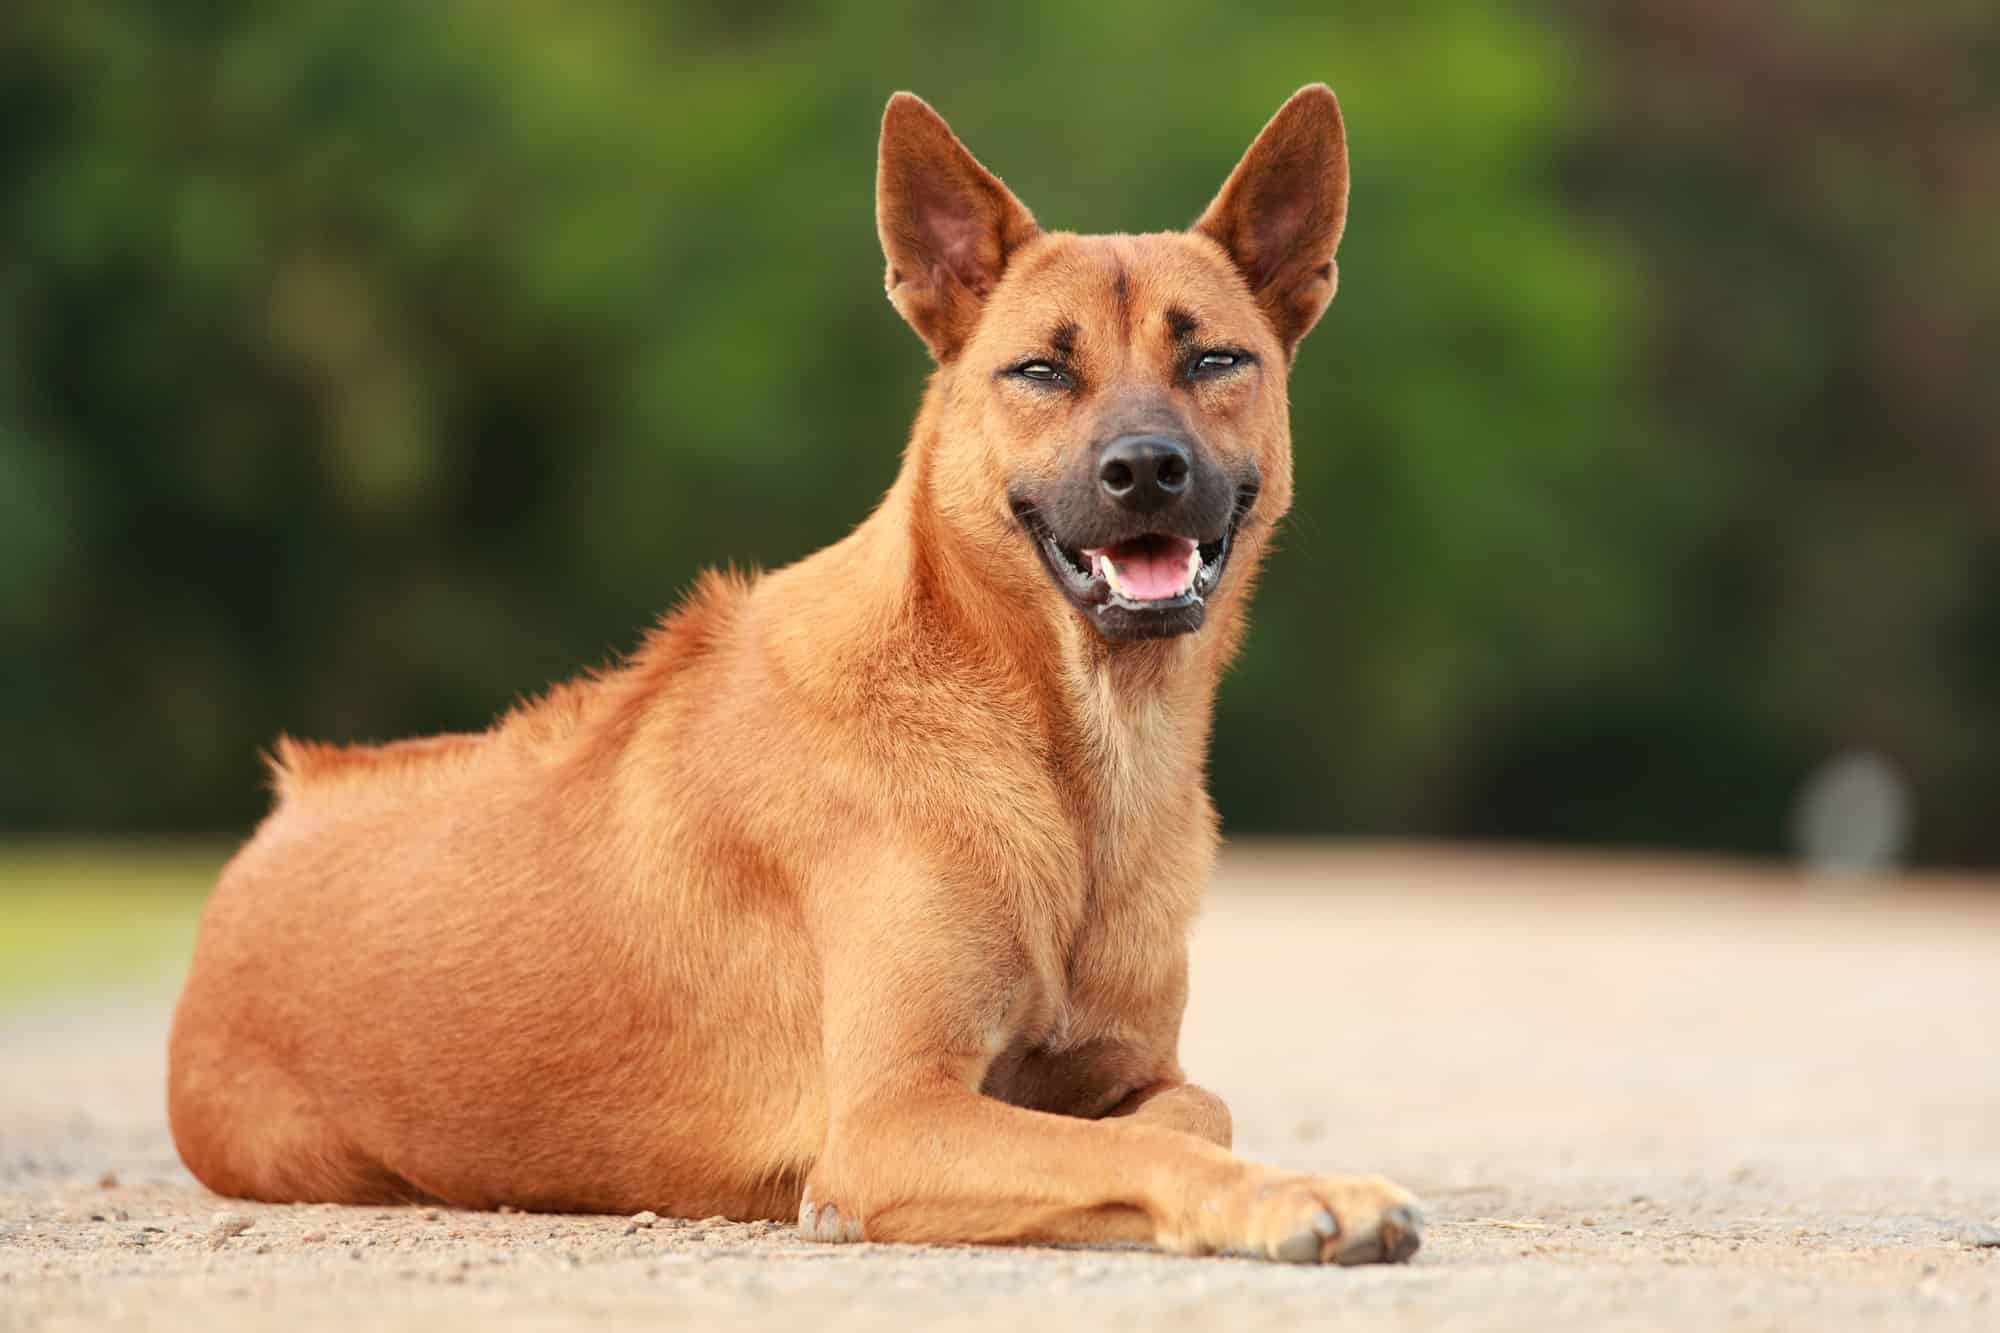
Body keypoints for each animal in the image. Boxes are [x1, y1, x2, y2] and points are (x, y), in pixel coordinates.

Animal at [168, 85, 1424, 1264]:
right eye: (1036, 370)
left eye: (1214, 359)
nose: (1145, 470)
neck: (1064, 753)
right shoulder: (891, 1117)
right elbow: (1140, 1146)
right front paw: (1299, 1194)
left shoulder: (1123, 1065)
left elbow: (1185, 1110)